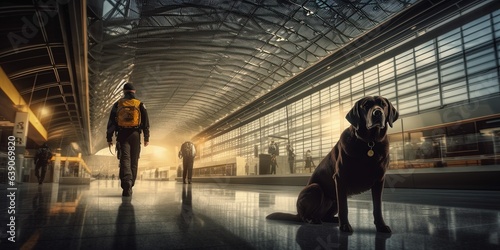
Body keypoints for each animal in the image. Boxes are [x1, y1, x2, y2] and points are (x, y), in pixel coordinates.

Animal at [266, 96, 398, 233]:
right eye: (366, 105)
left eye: (383, 104)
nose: (377, 113)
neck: (369, 143)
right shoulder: (340, 179)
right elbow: (344, 207)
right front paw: (345, 226)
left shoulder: (379, 181)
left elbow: (377, 207)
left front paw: (381, 226)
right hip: (315, 188)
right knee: (305, 216)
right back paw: (313, 220)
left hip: (333, 200)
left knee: (325, 216)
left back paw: (331, 219)